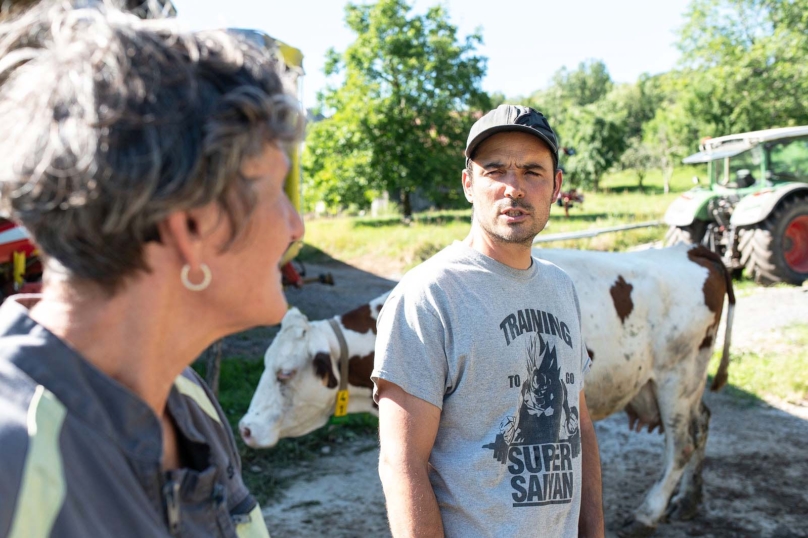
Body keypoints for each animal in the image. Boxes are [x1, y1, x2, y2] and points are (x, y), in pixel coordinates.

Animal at [238, 244, 732, 536]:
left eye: (285, 373)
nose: (244, 428)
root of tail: (689, 249)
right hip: (680, 380)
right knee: (704, 425)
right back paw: (691, 500)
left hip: (677, 375)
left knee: (682, 444)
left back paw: (652, 510)